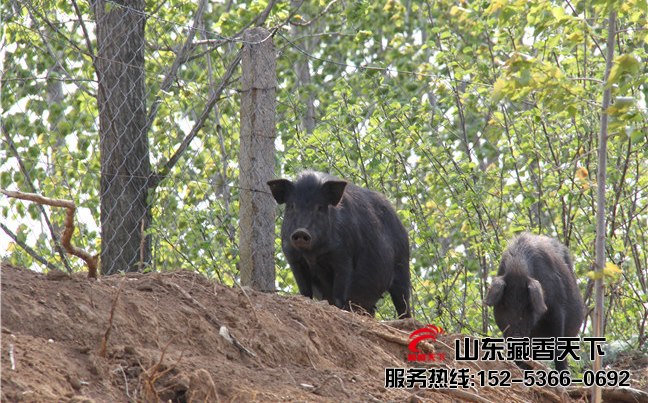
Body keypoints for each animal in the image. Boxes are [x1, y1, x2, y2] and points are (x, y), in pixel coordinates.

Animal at [268, 170, 410, 318]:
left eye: (320, 207)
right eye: (291, 206)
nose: (301, 231)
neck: (312, 255)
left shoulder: (343, 257)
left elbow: (339, 294)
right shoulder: (294, 259)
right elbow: (305, 292)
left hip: (402, 267)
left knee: (403, 302)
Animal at [484, 234, 584, 372]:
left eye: (528, 305)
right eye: (504, 304)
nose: (516, 337)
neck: (517, 269)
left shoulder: (557, 310)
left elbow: (558, 347)